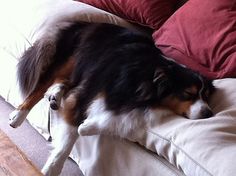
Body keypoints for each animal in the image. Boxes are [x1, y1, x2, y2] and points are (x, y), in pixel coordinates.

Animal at [8, 20, 214, 175]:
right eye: (188, 94)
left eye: (206, 96)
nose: (209, 114)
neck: (145, 78)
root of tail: (86, 23)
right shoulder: (89, 91)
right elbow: (68, 140)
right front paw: (52, 168)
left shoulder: (135, 110)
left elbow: (116, 122)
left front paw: (87, 127)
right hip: (73, 58)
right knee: (43, 85)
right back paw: (18, 115)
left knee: (65, 82)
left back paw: (55, 96)